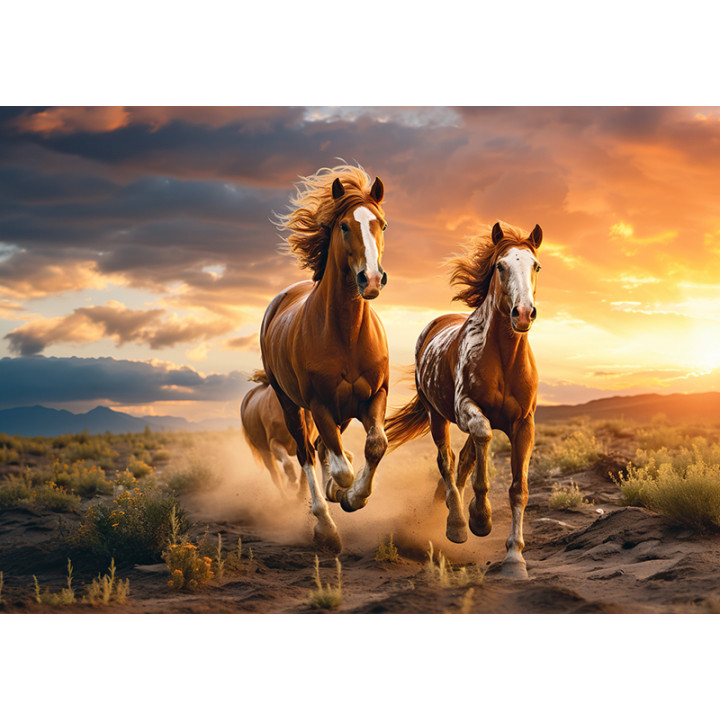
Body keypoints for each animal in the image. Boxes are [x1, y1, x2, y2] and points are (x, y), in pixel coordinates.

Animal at [260, 164, 390, 553]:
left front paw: (354, 496)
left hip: (342, 411)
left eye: (382, 224)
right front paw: (344, 496)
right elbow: (339, 468)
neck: (346, 333)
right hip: (291, 405)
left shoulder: (374, 396)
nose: (371, 279)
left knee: (321, 448)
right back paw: (325, 526)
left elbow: (375, 446)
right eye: (344, 225)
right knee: (306, 451)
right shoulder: (319, 404)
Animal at [385, 221, 542, 578]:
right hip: (436, 415)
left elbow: (518, 489)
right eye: (500, 266)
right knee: (447, 460)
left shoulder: (524, 425)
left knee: (466, 459)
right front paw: (480, 518)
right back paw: (456, 524)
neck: (503, 359)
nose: (523, 313)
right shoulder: (466, 408)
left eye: (536, 266)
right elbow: (479, 443)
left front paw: (515, 559)